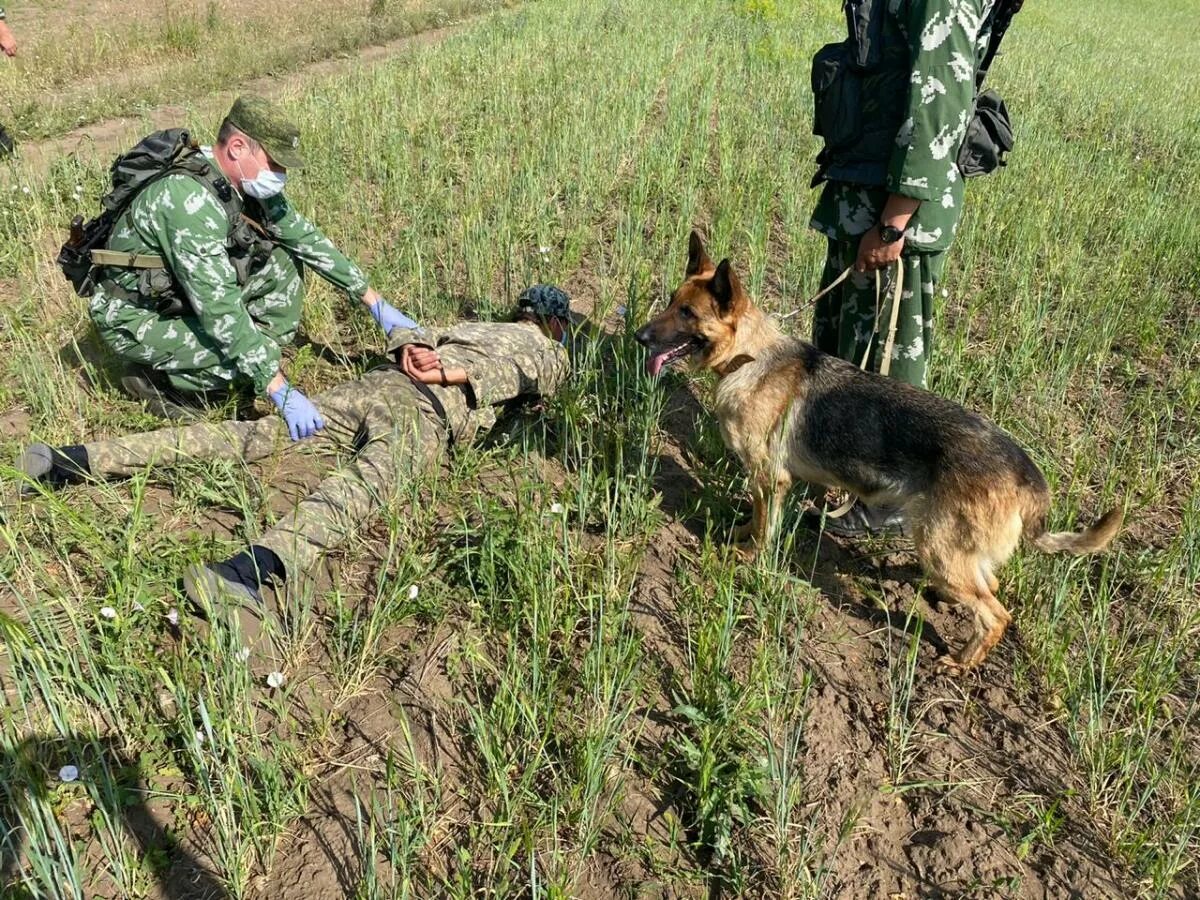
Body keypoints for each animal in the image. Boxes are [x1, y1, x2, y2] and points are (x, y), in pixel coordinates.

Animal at [638, 236, 1123, 672]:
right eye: (671, 302)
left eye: (687, 314)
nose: (640, 335)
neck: (749, 356)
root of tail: (1027, 474)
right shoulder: (765, 483)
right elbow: (754, 517)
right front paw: (739, 533)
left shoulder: (771, 479)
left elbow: (764, 527)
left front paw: (748, 556)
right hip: (954, 550)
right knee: (992, 583)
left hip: (937, 545)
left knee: (996, 615)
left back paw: (961, 663)